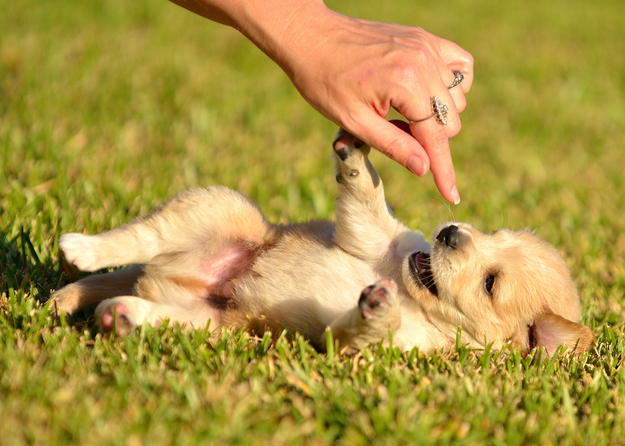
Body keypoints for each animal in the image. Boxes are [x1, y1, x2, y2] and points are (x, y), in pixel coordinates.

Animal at [50, 130, 596, 356]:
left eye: (490, 284)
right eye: (492, 234)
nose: (449, 232)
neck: (416, 299)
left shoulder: (378, 345)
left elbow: (363, 332)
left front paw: (378, 307)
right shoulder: (380, 239)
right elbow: (367, 196)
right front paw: (356, 151)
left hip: (208, 324)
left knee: (145, 298)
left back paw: (119, 313)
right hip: (222, 209)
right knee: (139, 238)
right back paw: (82, 255)